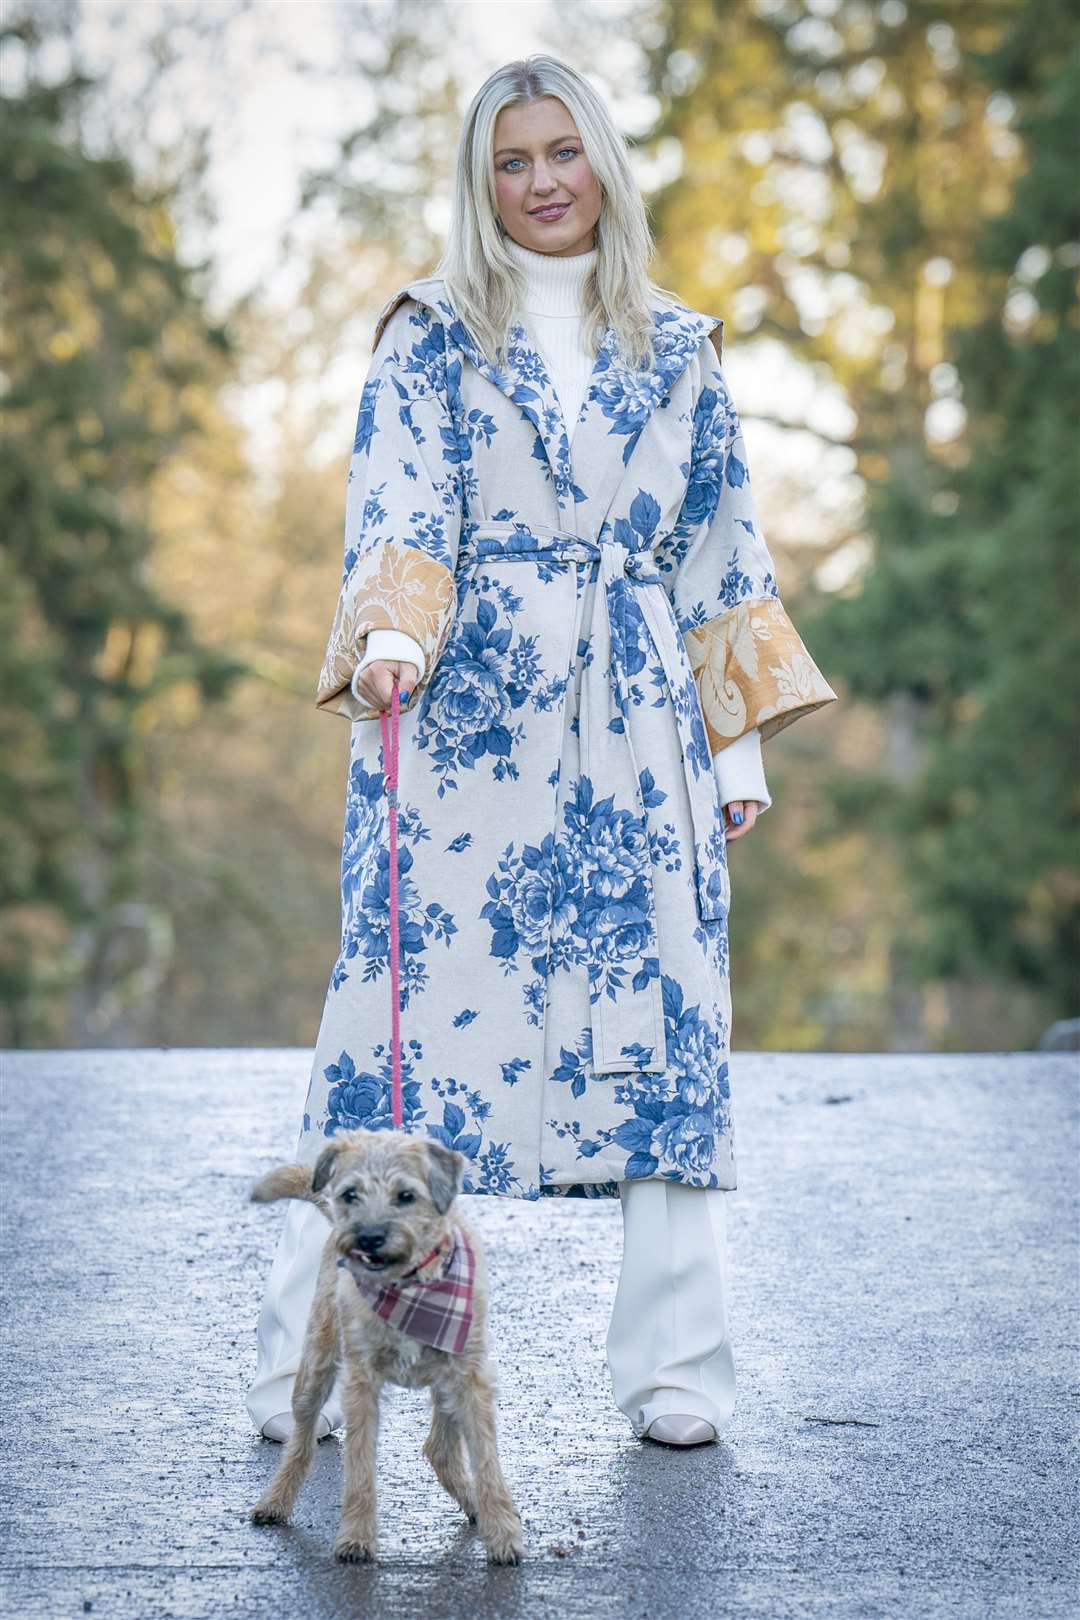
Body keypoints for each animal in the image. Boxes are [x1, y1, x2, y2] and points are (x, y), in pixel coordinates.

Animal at [250, 1121, 527, 1561]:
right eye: (351, 1194)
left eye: (406, 1196)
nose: (369, 1237)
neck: (410, 1285)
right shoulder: (361, 1382)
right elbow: (360, 1465)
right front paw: (356, 1537)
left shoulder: (471, 1378)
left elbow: (486, 1460)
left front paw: (502, 1531)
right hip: (316, 1367)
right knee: (300, 1442)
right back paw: (274, 1502)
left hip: (447, 1381)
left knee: (439, 1448)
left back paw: (475, 1505)